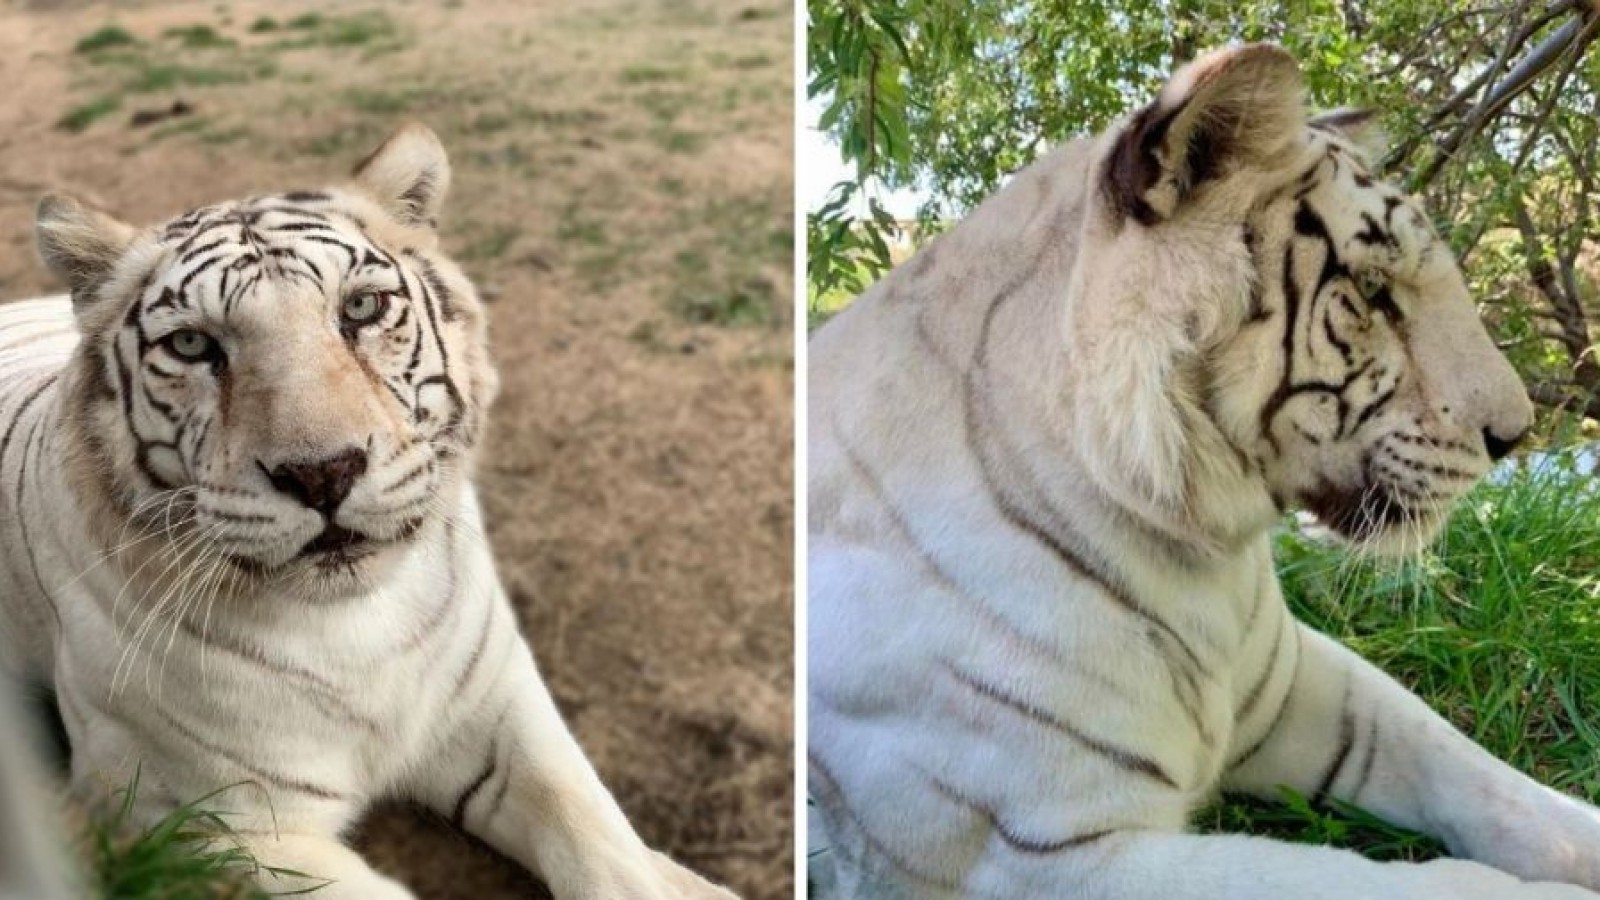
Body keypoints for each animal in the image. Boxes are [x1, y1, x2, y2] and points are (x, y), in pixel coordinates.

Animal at [0, 122, 738, 900]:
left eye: (360, 309)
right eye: (194, 344)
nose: (321, 473)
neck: (360, 624)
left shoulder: (500, 710)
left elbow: (597, 833)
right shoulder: (190, 815)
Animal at [808, 44, 1600, 900]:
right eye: (1371, 291)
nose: (1512, 435)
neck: (1192, 555)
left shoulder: (1297, 685)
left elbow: (1478, 775)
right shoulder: (1033, 855)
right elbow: (1397, 881)